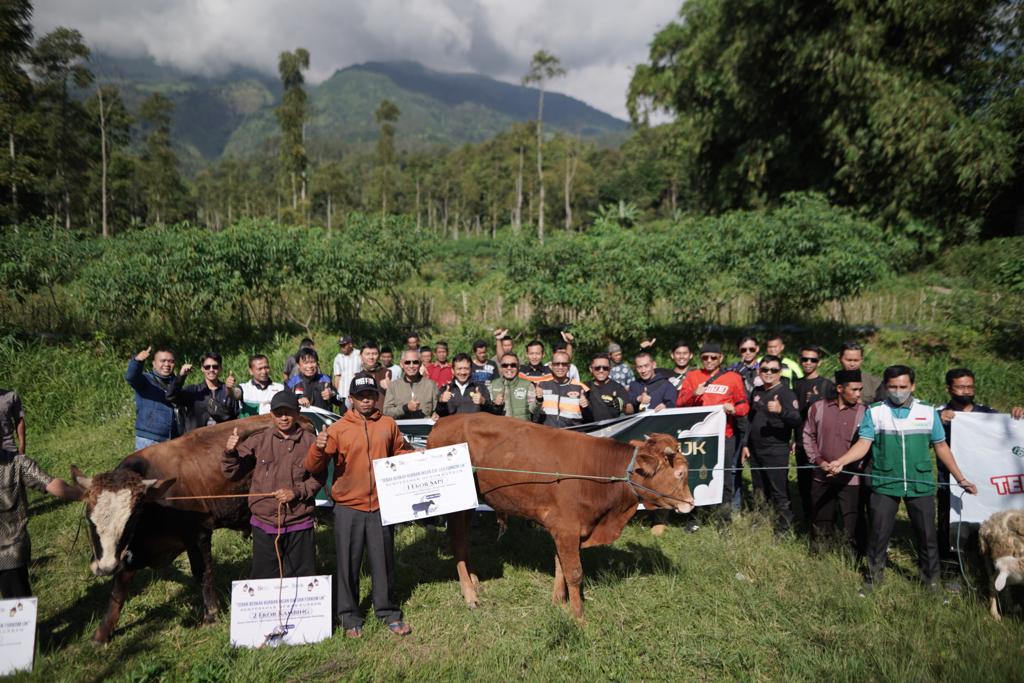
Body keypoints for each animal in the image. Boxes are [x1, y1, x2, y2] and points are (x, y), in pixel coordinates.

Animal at [70, 413, 301, 643]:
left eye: (132, 516)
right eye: (90, 519)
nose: (105, 566)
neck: (157, 503)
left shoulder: (199, 534)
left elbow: (203, 573)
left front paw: (211, 615)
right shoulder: (132, 550)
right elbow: (119, 587)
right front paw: (102, 633)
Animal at [423, 413, 696, 622]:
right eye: (680, 473)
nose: (690, 503)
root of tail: (444, 421)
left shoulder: (564, 528)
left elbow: (560, 565)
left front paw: (558, 603)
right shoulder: (566, 527)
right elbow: (574, 572)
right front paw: (579, 617)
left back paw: (474, 580)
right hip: (458, 507)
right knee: (458, 542)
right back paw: (469, 594)